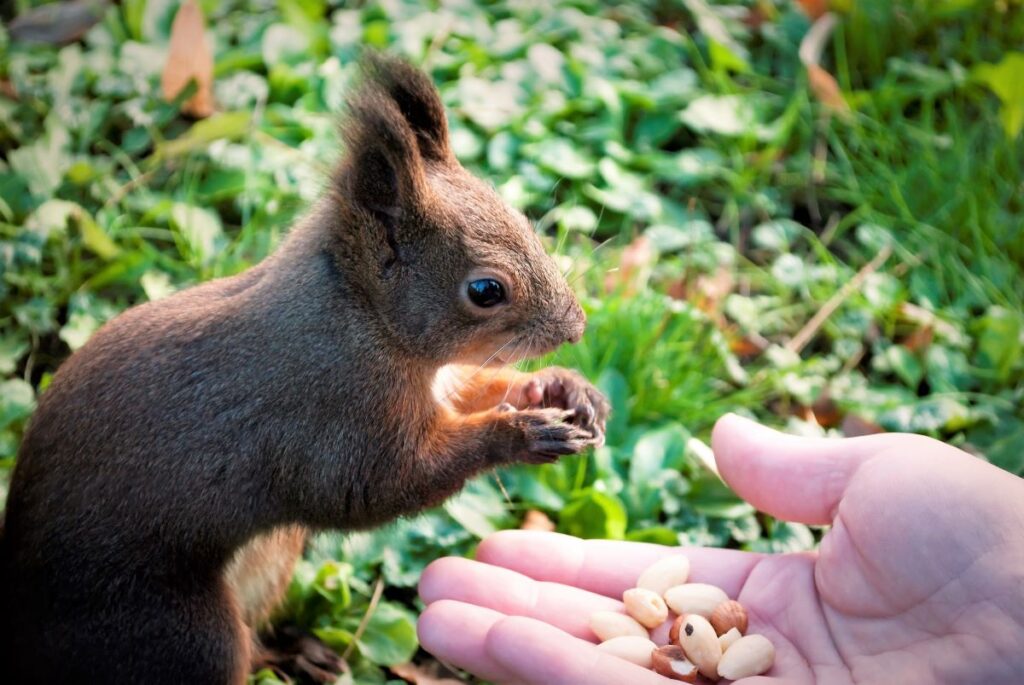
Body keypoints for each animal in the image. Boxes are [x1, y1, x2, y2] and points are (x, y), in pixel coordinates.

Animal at [0, 54, 606, 683]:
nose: (576, 327)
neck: (362, 316)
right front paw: (520, 433)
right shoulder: (332, 418)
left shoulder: (437, 383)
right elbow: (375, 487)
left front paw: (562, 387)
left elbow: (472, 392)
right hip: (180, 633)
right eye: (486, 291)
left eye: (525, 221)